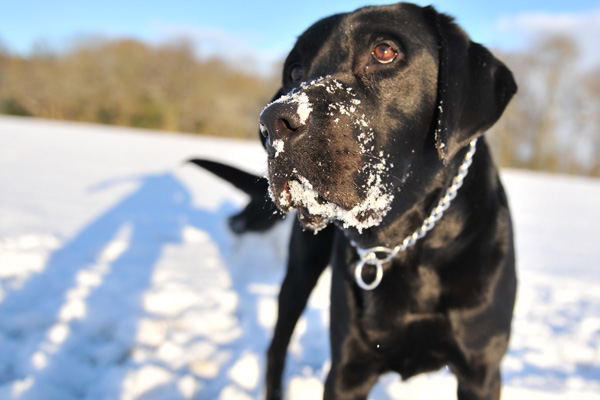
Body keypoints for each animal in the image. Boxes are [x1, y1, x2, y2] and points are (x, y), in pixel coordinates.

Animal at [191, 3, 516, 400]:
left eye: (385, 51)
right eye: (295, 70)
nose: (274, 122)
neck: (403, 243)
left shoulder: (481, 372)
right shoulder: (347, 370)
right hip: (300, 272)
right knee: (276, 348)